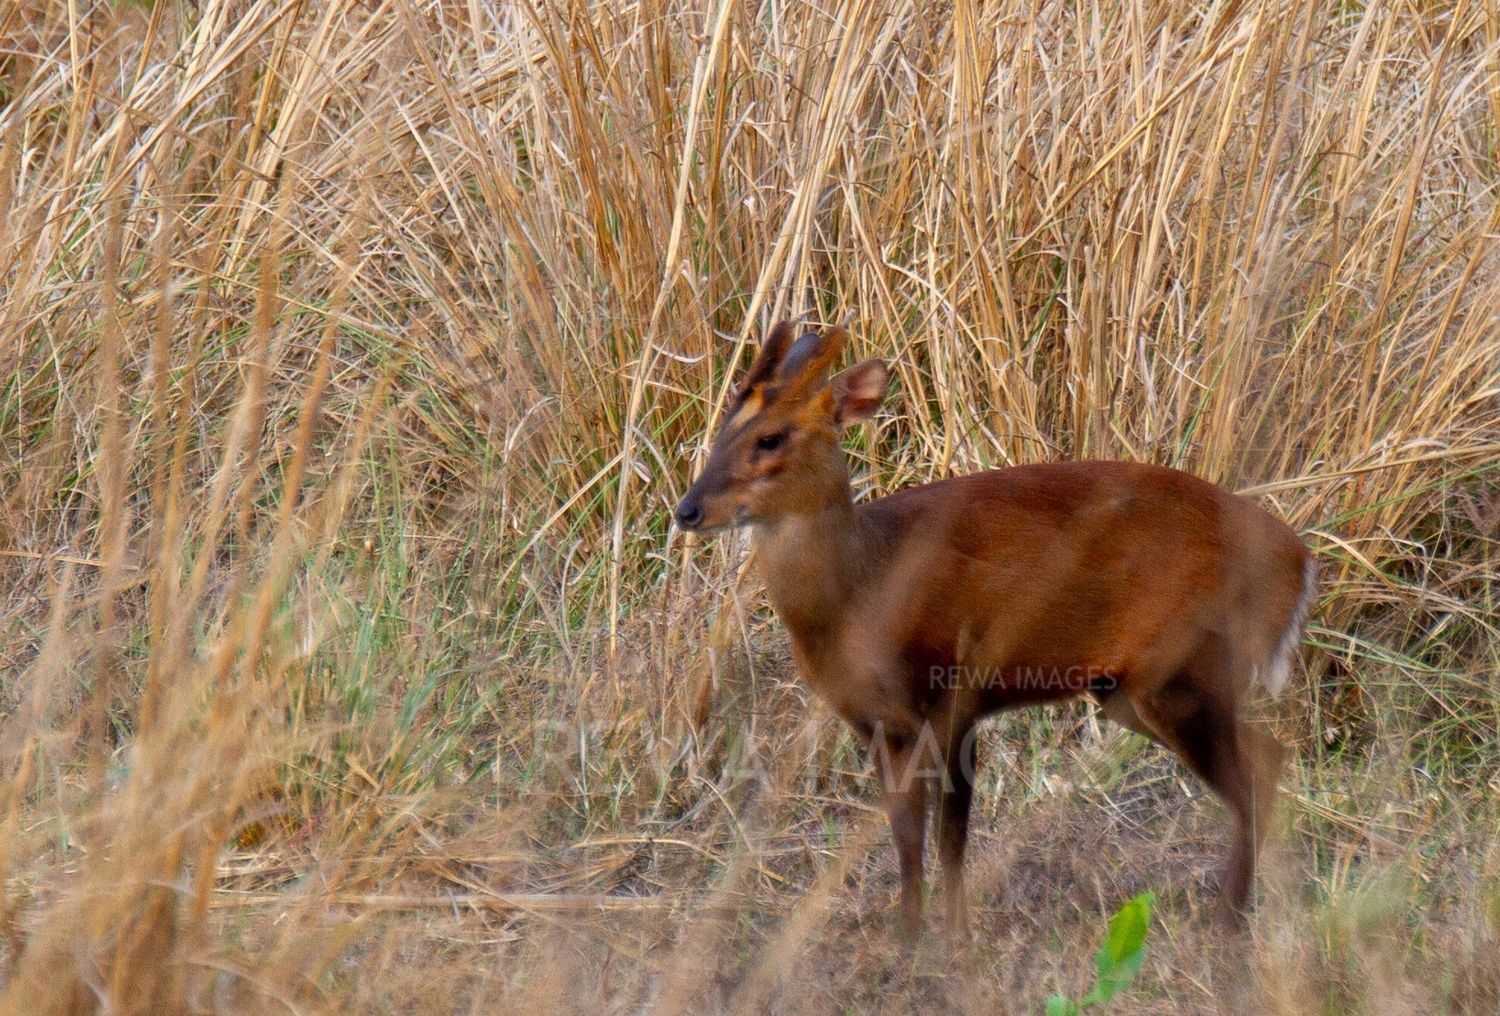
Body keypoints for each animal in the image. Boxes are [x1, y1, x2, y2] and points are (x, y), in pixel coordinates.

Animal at [674, 320, 1317, 943]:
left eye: (771, 438)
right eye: (722, 428)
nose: (687, 510)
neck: (865, 593)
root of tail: (1298, 561)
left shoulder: (955, 693)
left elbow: (951, 835)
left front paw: (958, 946)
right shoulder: (877, 723)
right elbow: (904, 836)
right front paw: (906, 942)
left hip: (1181, 668)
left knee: (1255, 774)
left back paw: (1226, 923)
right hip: (1131, 690)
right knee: (1270, 755)